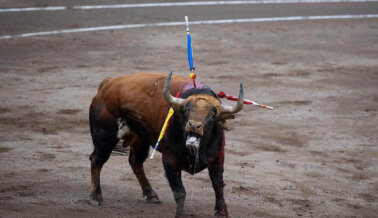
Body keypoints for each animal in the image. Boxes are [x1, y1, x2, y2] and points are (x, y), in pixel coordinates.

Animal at [89, 71, 244, 216]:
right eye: (186, 110)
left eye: (212, 115)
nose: (194, 126)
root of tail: (107, 84)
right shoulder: (170, 161)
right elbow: (180, 192)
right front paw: (180, 214)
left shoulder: (217, 158)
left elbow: (218, 185)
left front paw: (221, 212)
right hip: (105, 137)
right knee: (97, 160)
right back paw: (95, 197)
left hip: (140, 140)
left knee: (135, 162)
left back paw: (150, 194)